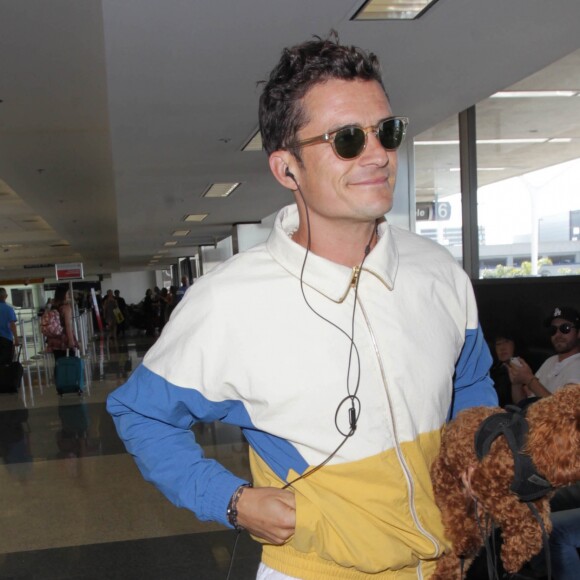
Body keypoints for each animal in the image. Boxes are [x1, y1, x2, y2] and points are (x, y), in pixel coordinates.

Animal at [430, 382, 580, 576]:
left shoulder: (537, 501)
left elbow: (542, 526)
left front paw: (515, 554)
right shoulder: (485, 482)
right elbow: (523, 517)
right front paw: (513, 555)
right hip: (449, 483)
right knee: (457, 520)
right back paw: (465, 541)